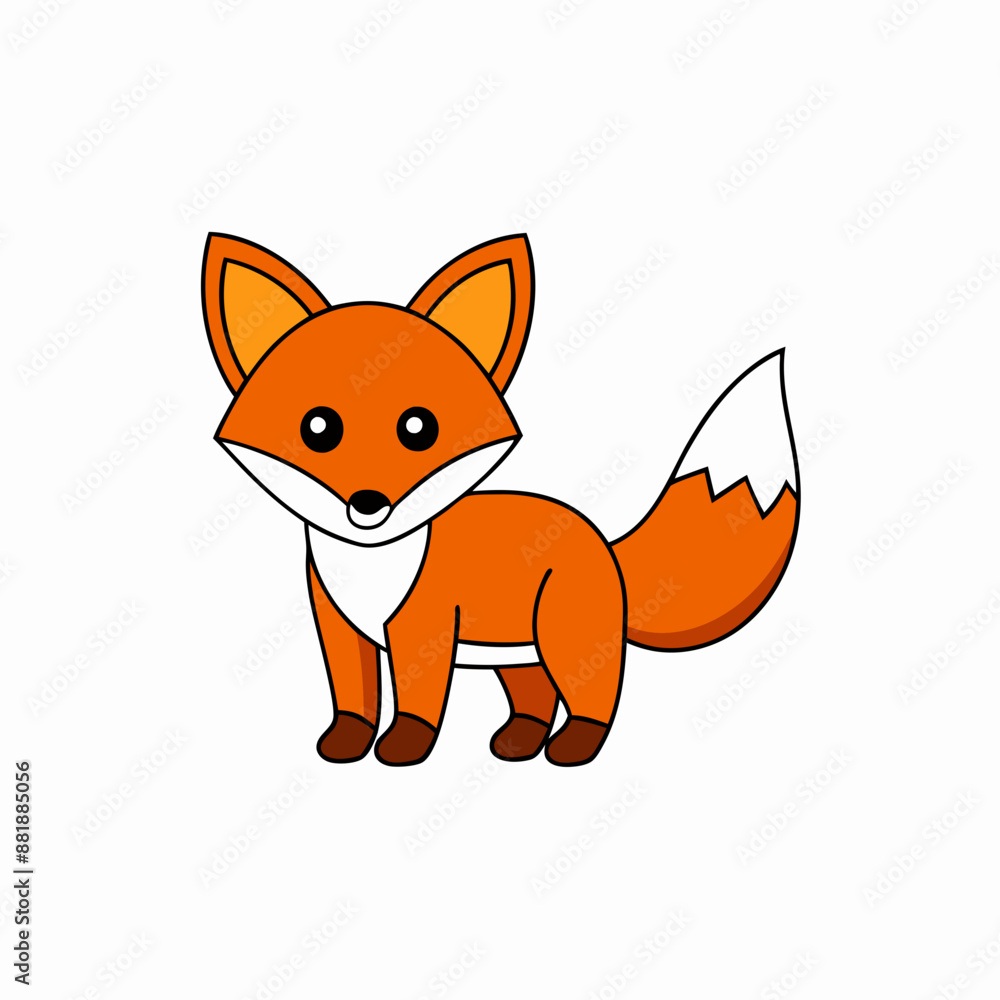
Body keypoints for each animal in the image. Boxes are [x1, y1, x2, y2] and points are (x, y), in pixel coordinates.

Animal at [201, 233, 800, 767]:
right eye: (318, 428)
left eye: (419, 428)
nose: (368, 502)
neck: (372, 566)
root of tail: (603, 543)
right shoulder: (338, 625)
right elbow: (353, 698)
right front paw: (346, 742)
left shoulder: (423, 628)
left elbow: (418, 701)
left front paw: (404, 747)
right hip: (517, 650)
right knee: (536, 696)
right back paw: (519, 741)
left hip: (565, 635)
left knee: (595, 695)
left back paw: (574, 747)